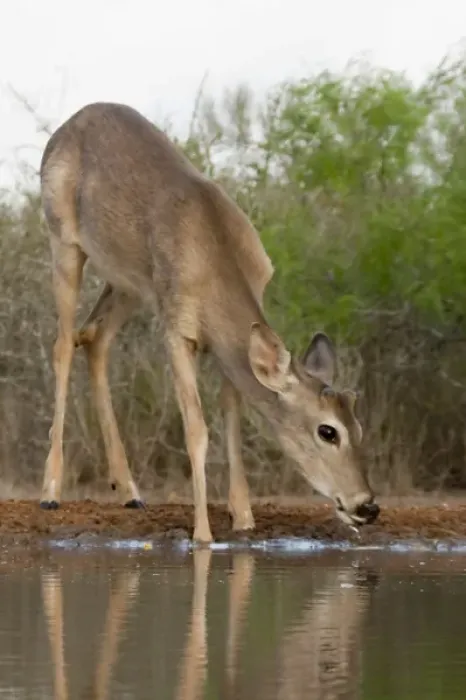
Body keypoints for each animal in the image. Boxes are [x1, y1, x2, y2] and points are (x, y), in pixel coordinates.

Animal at [39, 101, 380, 543]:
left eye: (358, 426)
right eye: (327, 430)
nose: (366, 505)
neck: (217, 259)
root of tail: (64, 129)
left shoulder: (224, 346)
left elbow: (232, 422)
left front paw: (244, 518)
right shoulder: (177, 331)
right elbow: (198, 430)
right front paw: (203, 533)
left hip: (128, 282)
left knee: (95, 338)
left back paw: (129, 490)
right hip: (64, 242)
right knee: (64, 343)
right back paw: (50, 491)